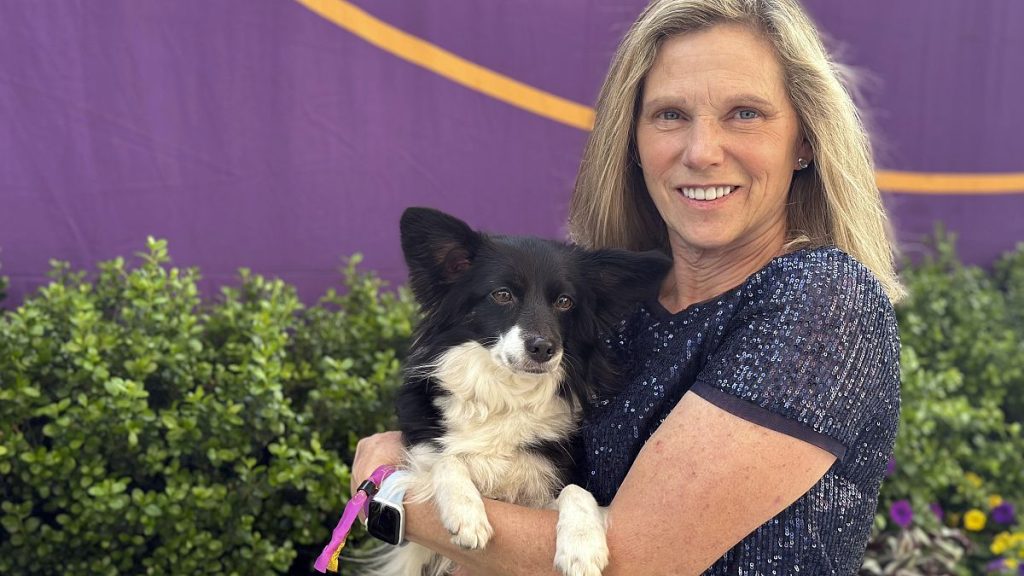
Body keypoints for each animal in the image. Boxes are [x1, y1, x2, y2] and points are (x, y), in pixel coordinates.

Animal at [380, 210, 667, 573]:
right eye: (502, 295)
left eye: (564, 301)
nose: (544, 348)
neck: (507, 393)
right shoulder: (420, 455)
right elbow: (446, 460)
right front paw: (466, 512)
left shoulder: (544, 490)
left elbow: (576, 490)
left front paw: (582, 545)